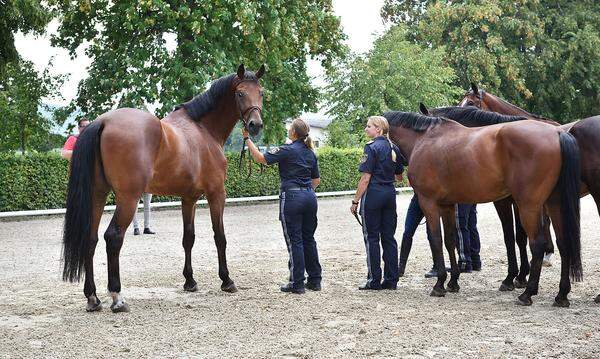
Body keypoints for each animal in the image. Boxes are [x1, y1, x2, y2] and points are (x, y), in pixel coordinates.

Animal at [62, 64, 264, 312]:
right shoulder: (217, 194)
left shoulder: (189, 198)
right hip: (128, 198)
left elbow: (188, 237)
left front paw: (190, 281)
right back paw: (117, 297)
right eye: (240, 93)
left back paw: (93, 298)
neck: (203, 130)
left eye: (261, 93)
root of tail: (103, 122)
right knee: (113, 237)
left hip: (97, 195)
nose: (256, 125)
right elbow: (220, 237)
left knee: (91, 239)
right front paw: (226, 280)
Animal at [382, 112, 584, 306]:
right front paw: (453, 282)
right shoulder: (447, 206)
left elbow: (436, 239)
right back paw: (561, 295)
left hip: (529, 207)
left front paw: (439, 284)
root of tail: (557, 133)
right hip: (554, 204)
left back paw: (527, 294)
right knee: (563, 242)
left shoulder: (429, 202)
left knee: (537, 244)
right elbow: (450, 240)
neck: (423, 140)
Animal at [460, 85, 600, 304]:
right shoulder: (525, 202)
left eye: (472, 103)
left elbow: (514, 237)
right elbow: (524, 236)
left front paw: (514, 277)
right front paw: (523, 275)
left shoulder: (509, 202)